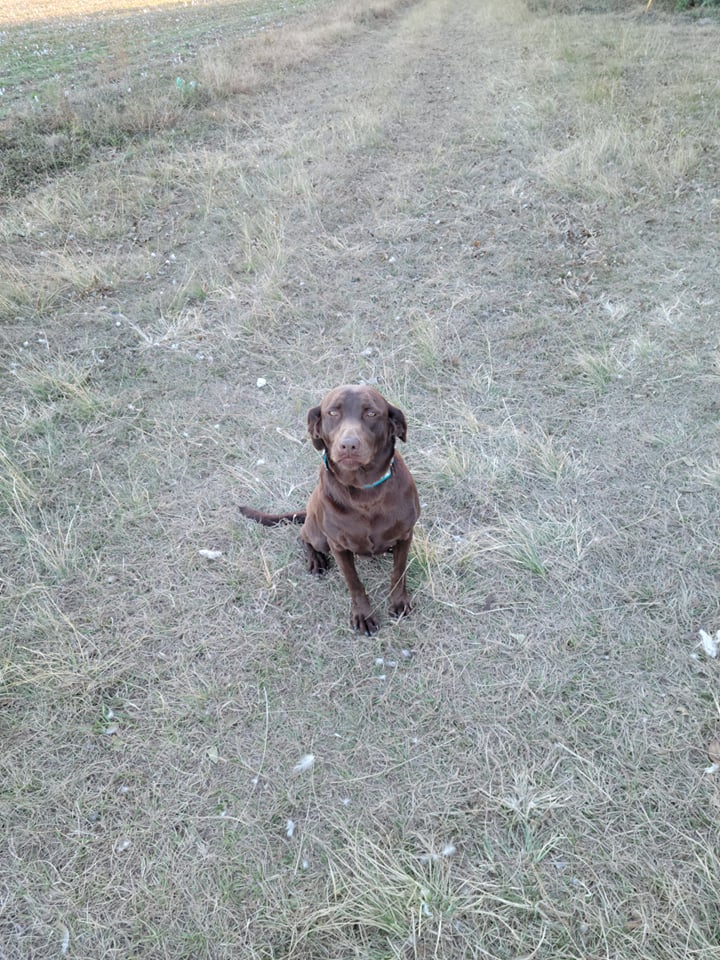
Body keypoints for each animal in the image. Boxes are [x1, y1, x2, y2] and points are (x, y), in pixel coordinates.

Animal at [240, 386, 420, 632]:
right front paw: (363, 615)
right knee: (303, 536)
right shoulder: (338, 546)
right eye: (333, 413)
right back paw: (316, 560)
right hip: (320, 537)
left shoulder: (405, 536)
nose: (349, 445)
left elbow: (398, 572)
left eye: (371, 413)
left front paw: (399, 602)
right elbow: (354, 582)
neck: (364, 492)